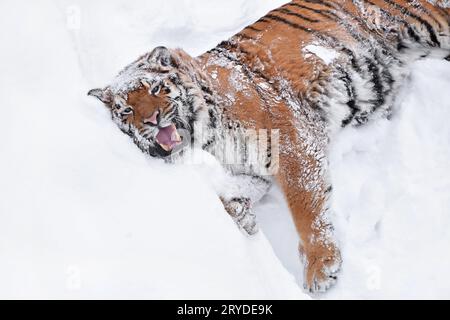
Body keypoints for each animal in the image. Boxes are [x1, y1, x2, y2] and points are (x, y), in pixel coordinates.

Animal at [88, 0, 450, 294]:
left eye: (156, 88)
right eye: (126, 110)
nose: (151, 120)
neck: (205, 139)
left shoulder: (290, 139)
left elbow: (305, 207)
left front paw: (320, 267)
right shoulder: (250, 170)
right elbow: (231, 192)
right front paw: (242, 215)